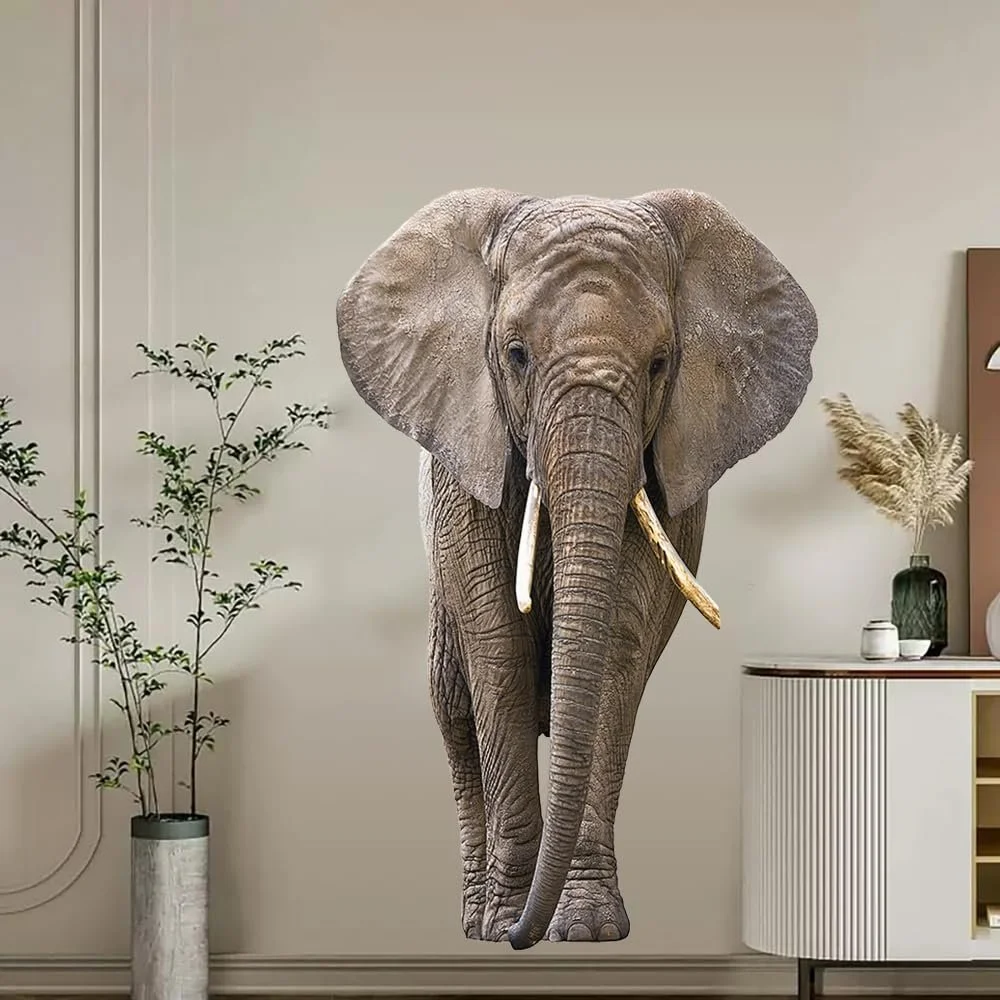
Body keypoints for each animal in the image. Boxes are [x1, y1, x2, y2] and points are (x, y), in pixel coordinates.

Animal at [336, 188, 818, 950]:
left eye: (660, 363)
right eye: (516, 354)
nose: (520, 937)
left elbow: (619, 644)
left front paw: (587, 929)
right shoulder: (463, 457)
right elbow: (497, 645)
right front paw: (505, 921)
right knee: (450, 698)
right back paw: (473, 920)